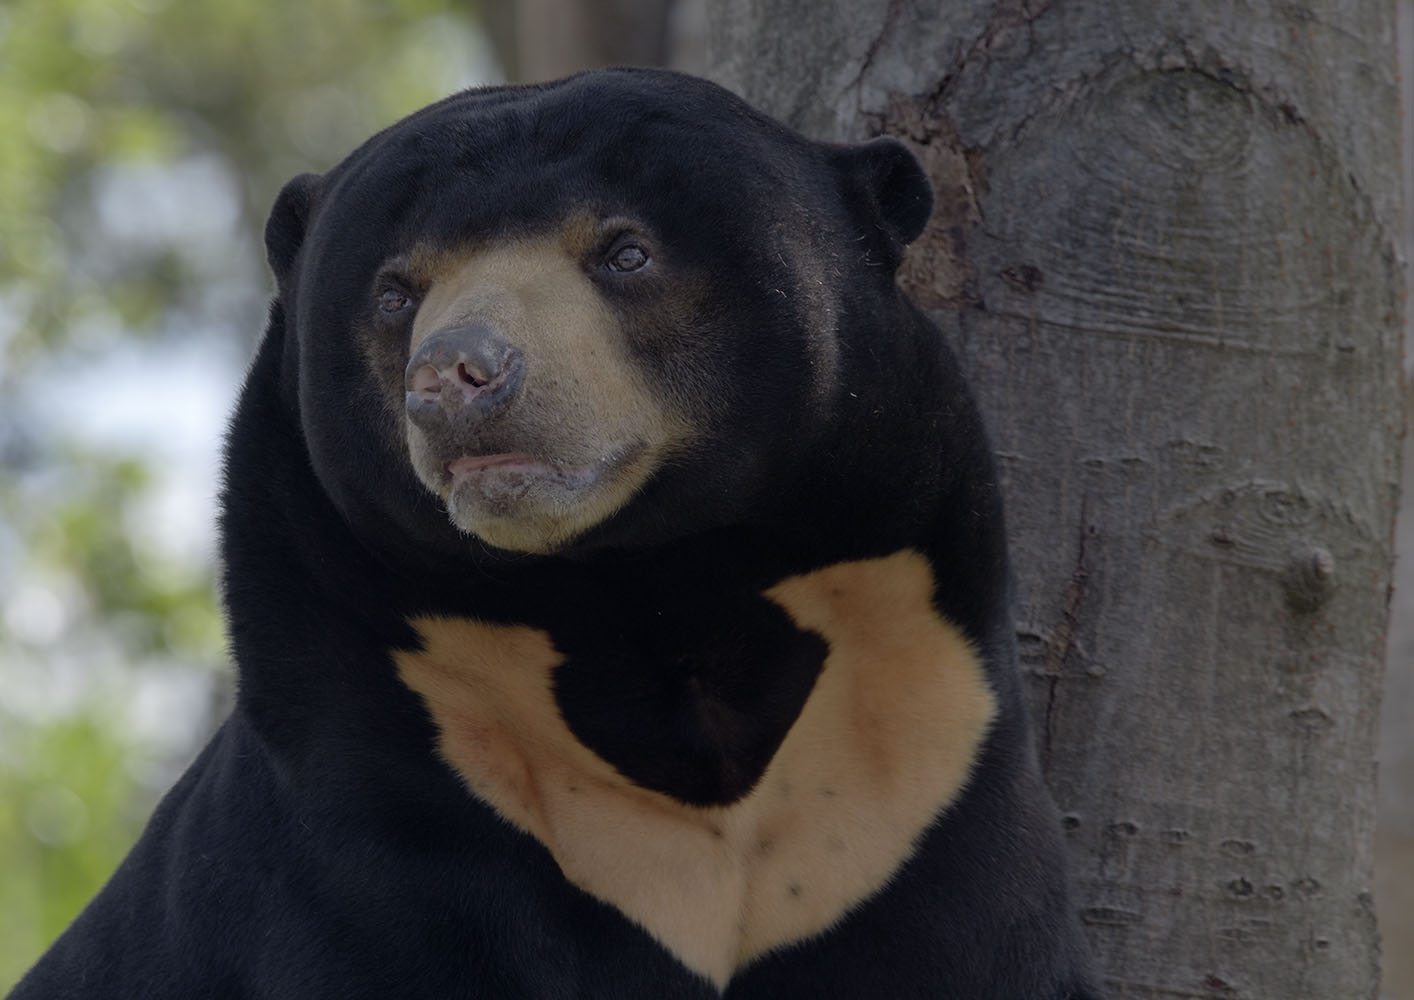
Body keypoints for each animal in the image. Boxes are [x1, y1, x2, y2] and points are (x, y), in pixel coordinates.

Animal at [10, 68, 1098, 999]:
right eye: (395, 292)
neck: (643, 595)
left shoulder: (920, 787)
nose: (457, 374)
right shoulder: (376, 820)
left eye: (625, 252)